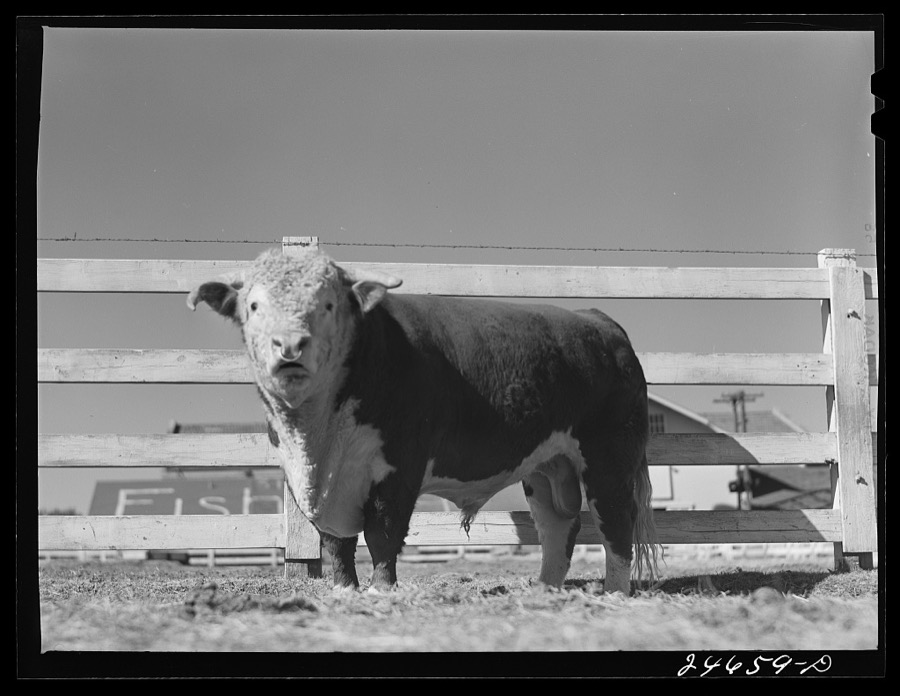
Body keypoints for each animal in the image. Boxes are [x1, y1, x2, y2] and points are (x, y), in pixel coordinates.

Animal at [188, 248, 660, 594]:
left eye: (327, 303)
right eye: (253, 305)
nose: (289, 345)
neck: (317, 441)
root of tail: (598, 319)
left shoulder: (400, 464)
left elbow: (382, 533)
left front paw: (382, 590)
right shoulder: (317, 482)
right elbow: (336, 542)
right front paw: (344, 591)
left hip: (609, 458)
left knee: (615, 524)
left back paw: (615, 592)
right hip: (546, 465)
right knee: (557, 526)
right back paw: (544, 590)